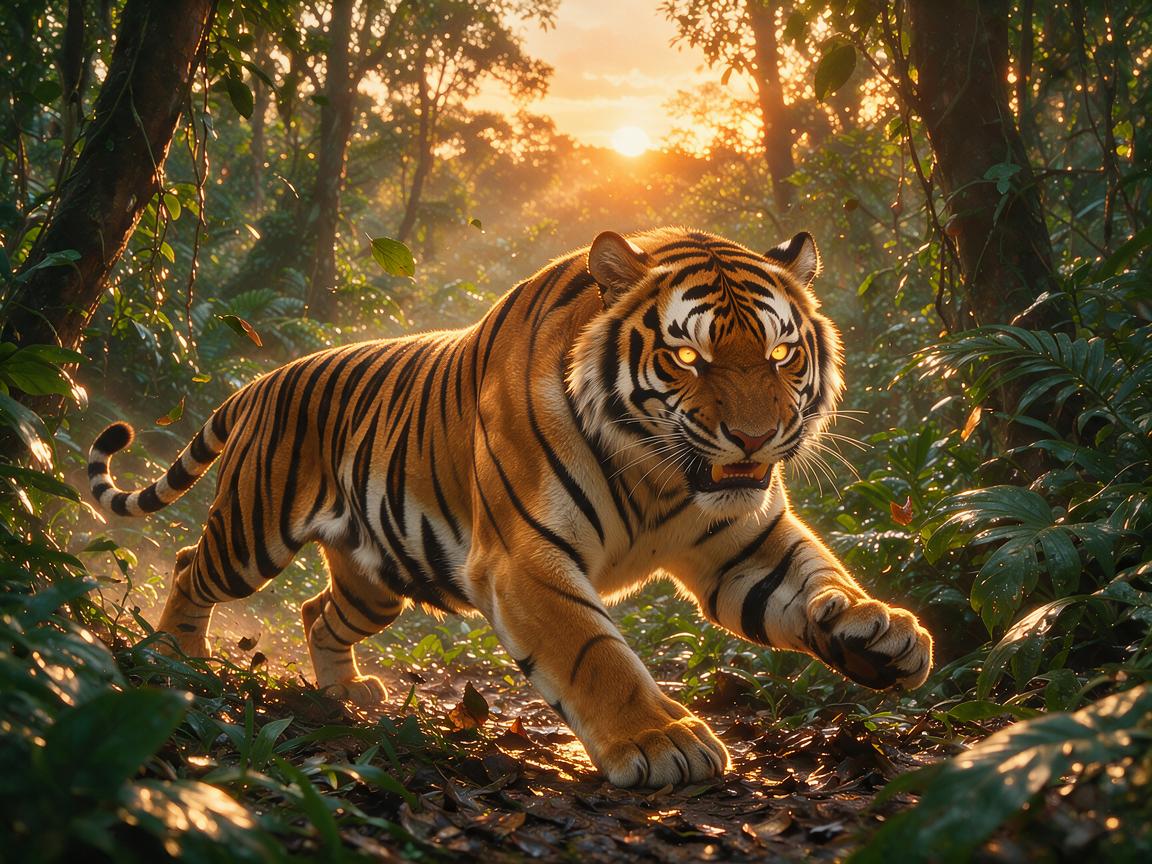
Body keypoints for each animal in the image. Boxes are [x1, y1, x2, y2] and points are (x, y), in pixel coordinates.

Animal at [88, 227, 933, 788]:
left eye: (781, 353)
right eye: (688, 356)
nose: (755, 437)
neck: (662, 474)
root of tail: (263, 380)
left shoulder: (744, 542)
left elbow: (818, 577)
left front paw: (880, 631)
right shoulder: (523, 557)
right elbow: (594, 651)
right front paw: (662, 741)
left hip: (376, 577)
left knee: (315, 613)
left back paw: (345, 694)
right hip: (254, 532)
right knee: (193, 565)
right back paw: (177, 657)